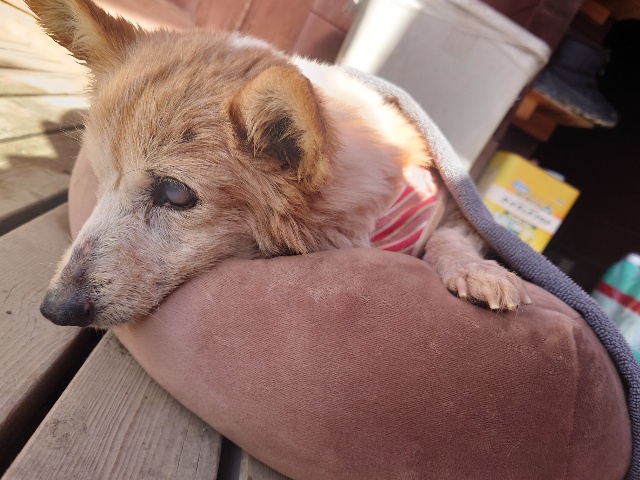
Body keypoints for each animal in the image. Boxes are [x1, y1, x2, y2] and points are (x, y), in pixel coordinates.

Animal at [29, 0, 530, 328]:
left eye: (175, 193)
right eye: (99, 177)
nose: (54, 308)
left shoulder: (455, 209)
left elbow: (451, 237)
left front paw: (481, 273)